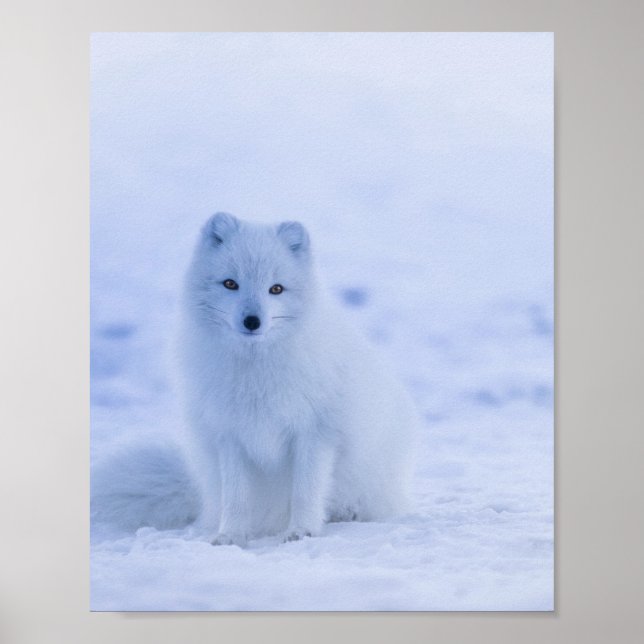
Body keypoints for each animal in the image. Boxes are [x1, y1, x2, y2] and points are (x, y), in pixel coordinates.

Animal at [91, 213, 419, 546]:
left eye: (276, 289)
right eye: (230, 283)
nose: (252, 321)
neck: (255, 371)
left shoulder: (315, 433)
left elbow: (305, 491)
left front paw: (302, 531)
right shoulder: (229, 435)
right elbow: (236, 498)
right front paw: (231, 536)